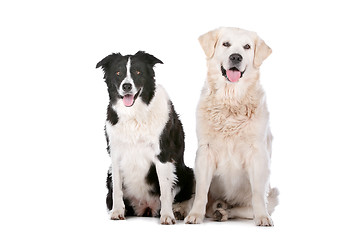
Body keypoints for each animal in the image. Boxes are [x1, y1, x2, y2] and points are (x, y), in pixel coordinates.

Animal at [95, 51, 194, 225]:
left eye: (138, 72)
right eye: (118, 73)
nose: (126, 86)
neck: (134, 114)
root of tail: (146, 208)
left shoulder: (163, 155)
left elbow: (165, 190)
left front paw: (167, 215)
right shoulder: (115, 154)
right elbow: (117, 190)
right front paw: (117, 211)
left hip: (188, 172)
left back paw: (179, 211)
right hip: (108, 175)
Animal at [186, 27, 278, 226]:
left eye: (247, 46)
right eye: (225, 44)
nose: (236, 57)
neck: (231, 100)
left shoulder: (257, 154)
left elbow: (257, 194)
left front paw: (262, 217)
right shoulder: (205, 152)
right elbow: (201, 192)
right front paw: (195, 214)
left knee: (241, 208)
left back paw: (222, 211)